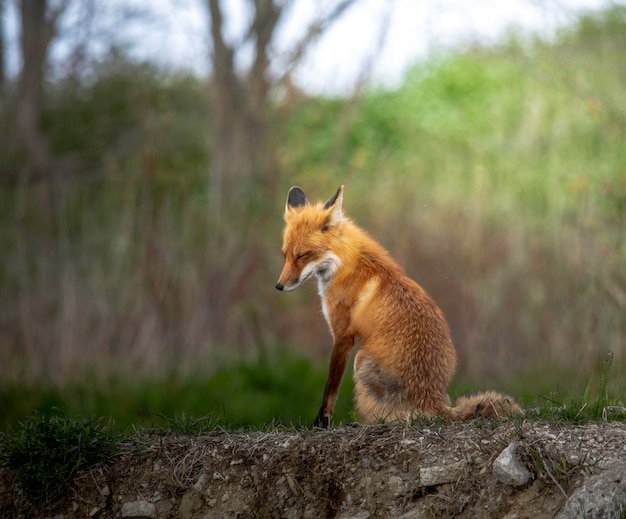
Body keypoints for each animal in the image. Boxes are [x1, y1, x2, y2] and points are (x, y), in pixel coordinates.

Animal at [276, 185, 520, 428]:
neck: (344, 263)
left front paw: (321, 422)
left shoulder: (343, 336)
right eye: (285, 254)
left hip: (360, 359)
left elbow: (330, 387)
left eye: (302, 255)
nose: (279, 286)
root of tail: (431, 400)